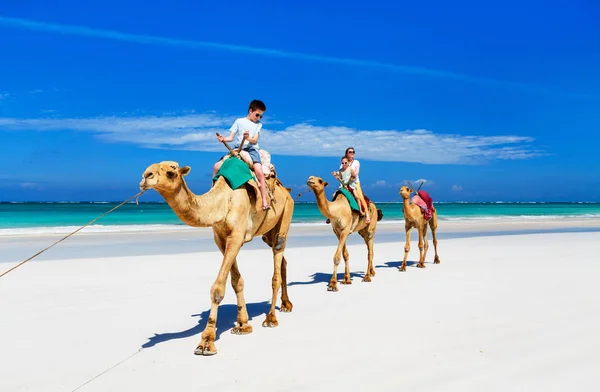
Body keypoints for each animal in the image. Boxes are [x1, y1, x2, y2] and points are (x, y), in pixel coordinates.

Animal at [138, 158, 292, 356]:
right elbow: (237, 281)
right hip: (268, 232)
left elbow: (218, 288)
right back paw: (286, 304)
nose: (145, 176)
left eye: (171, 172)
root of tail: (286, 190)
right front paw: (243, 325)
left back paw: (271, 318)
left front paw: (206, 341)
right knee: (283, 260)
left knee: (277, 258)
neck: (222, 200)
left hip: (286, 211)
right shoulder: (221, 238)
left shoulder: (236, 236)